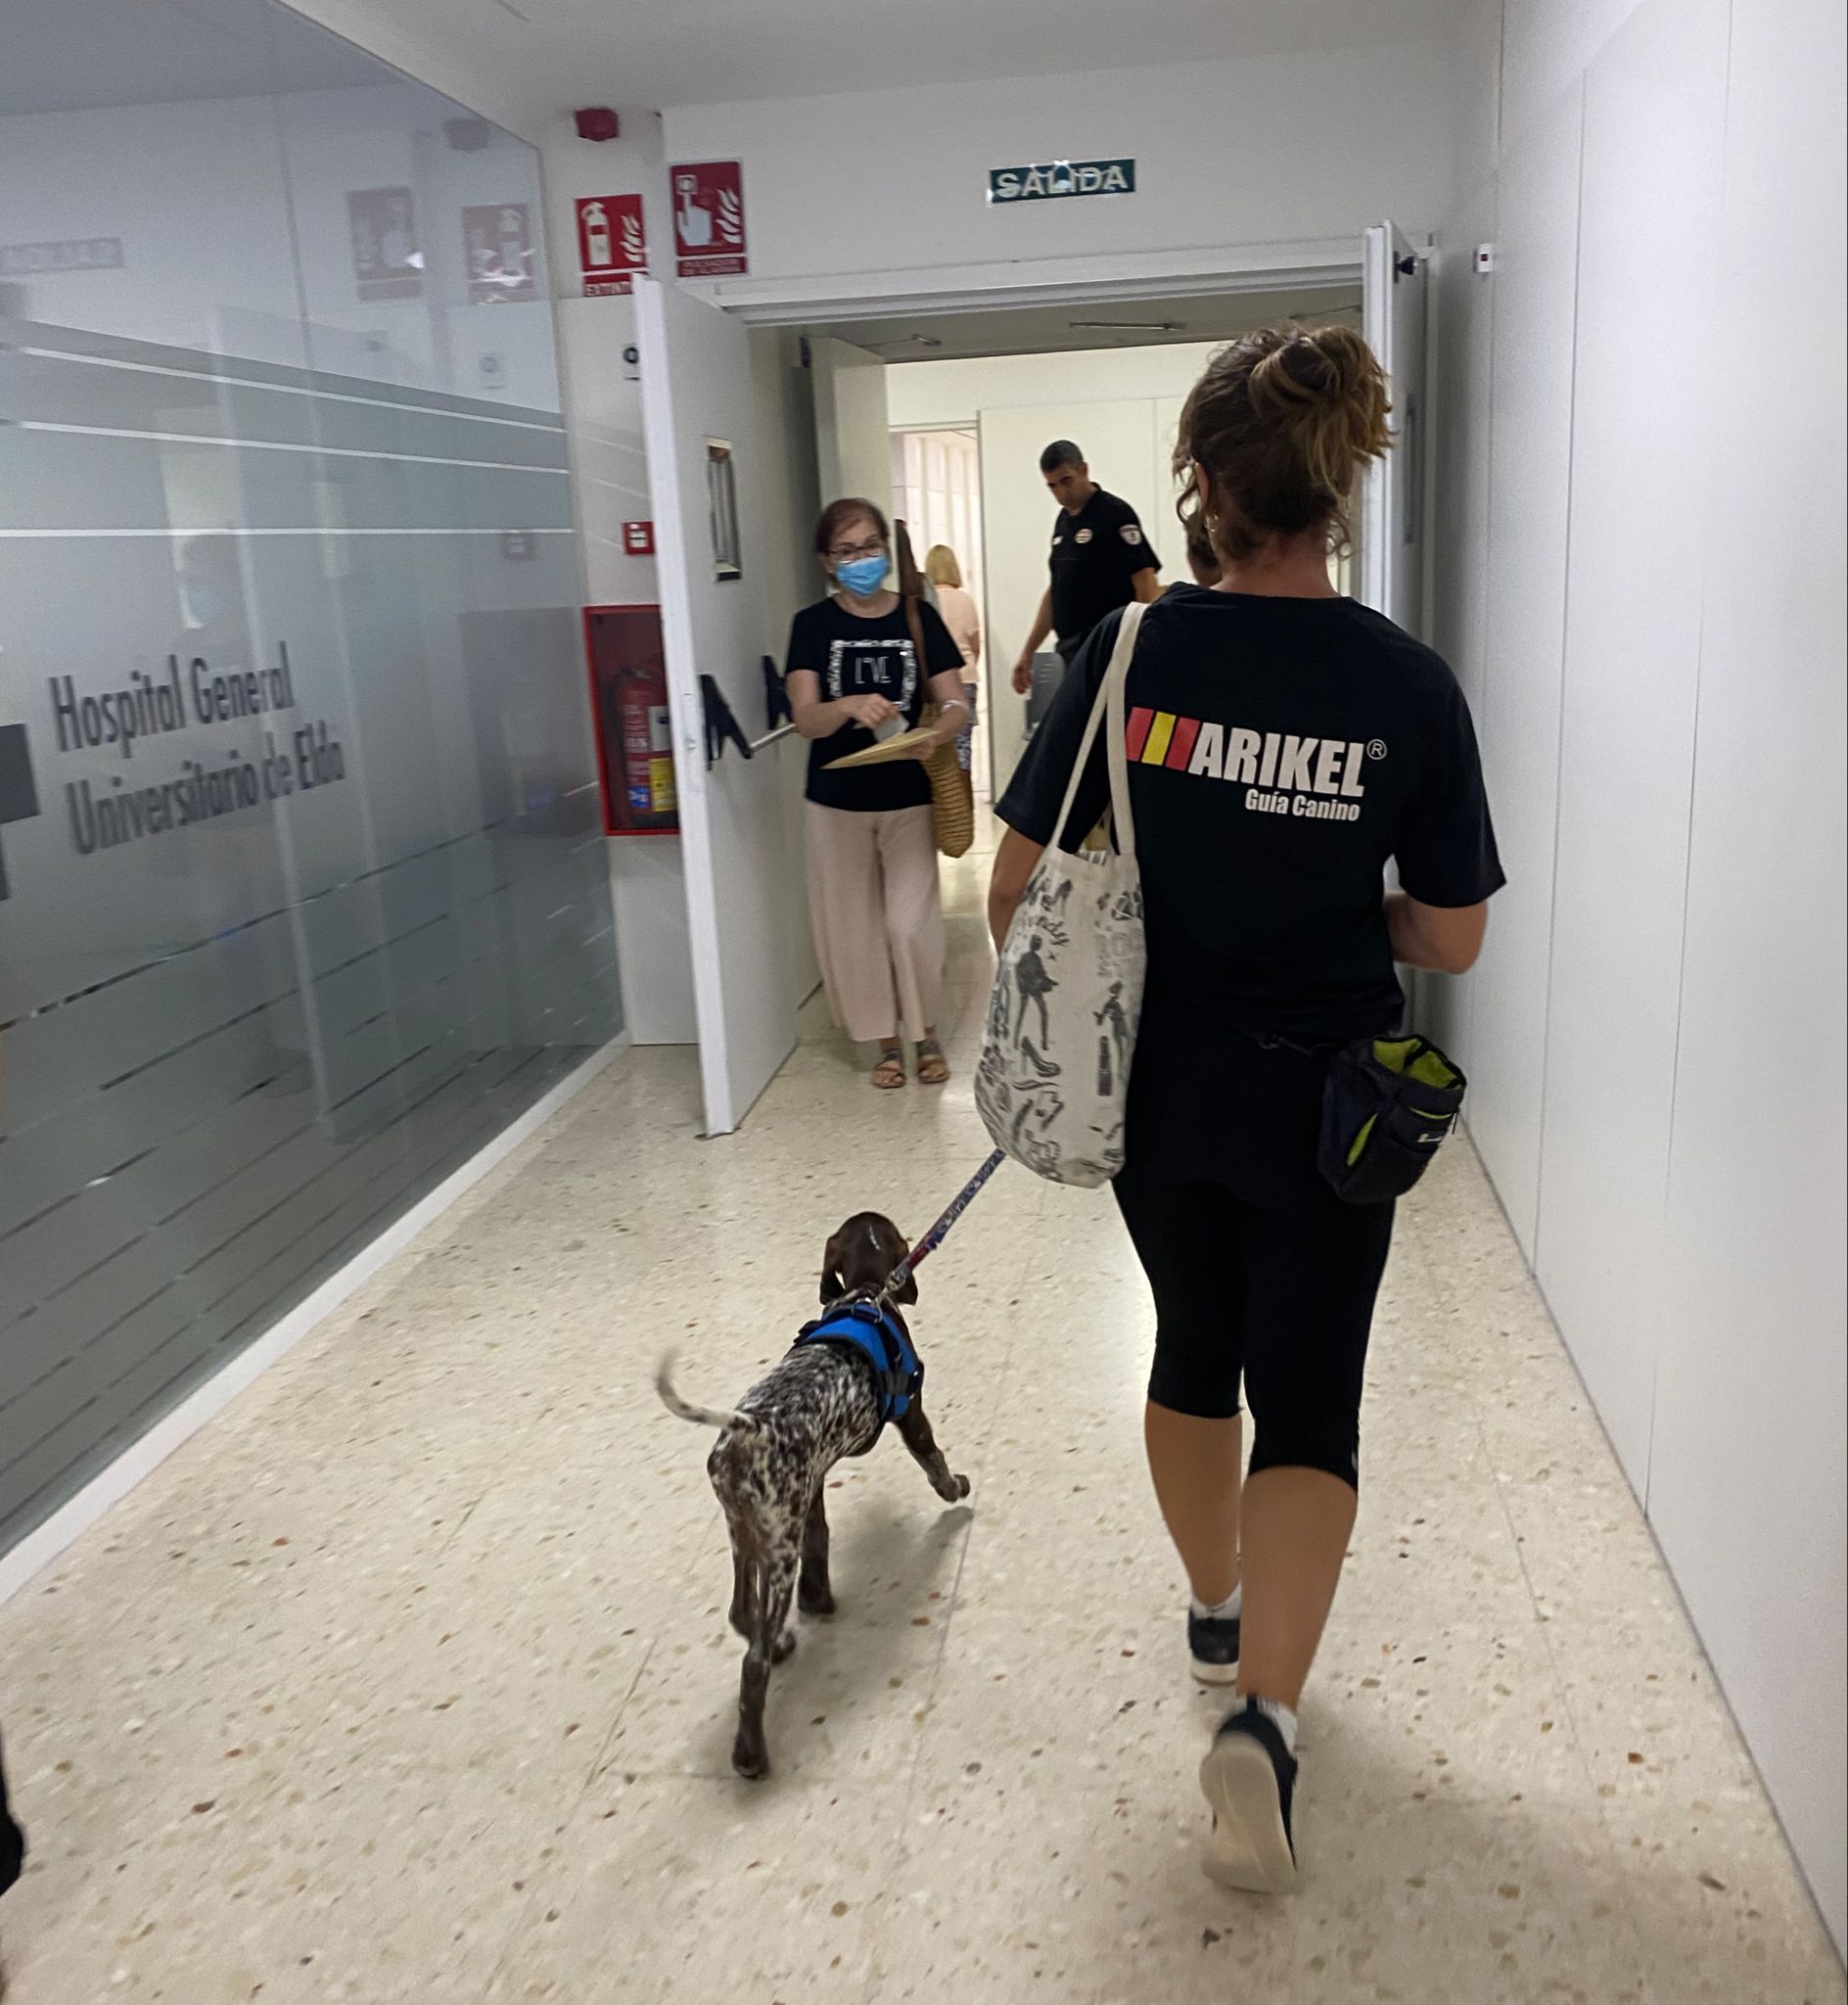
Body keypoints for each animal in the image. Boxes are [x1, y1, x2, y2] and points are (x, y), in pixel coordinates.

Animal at [653, 1210, 966, 1780]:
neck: (865, 1295)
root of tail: (749, 1429)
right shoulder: (912, 1417)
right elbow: (936, 1464)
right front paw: (957, 1488)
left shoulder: (813, 1480)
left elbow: (820, 1539)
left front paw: (818, 1599)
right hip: (776, 1550)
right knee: (752, 1664)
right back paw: (750, 1754)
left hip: (747, 1532)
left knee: (741, 1613)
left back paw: (775, 1639)